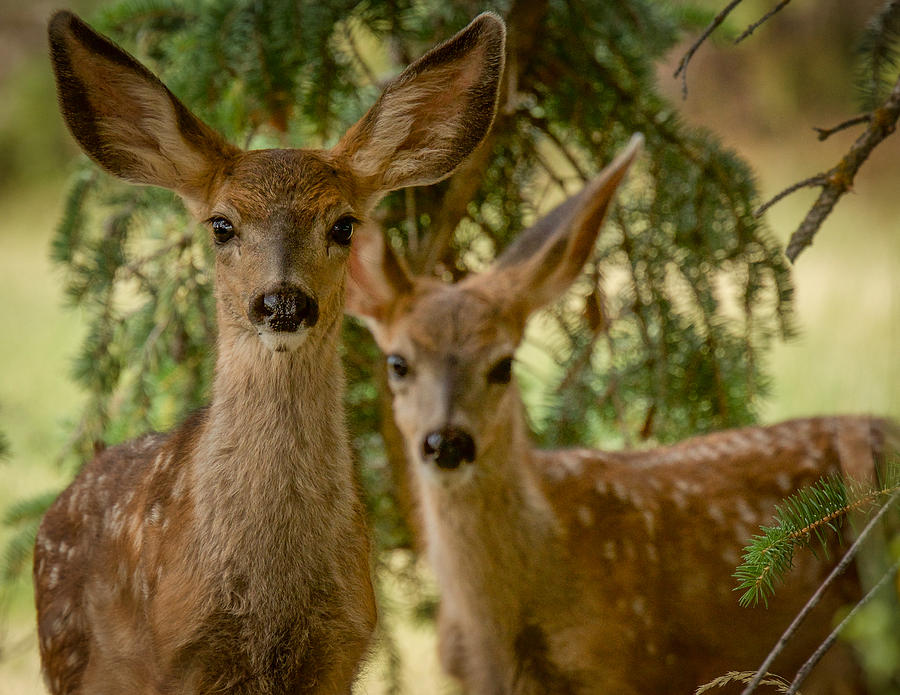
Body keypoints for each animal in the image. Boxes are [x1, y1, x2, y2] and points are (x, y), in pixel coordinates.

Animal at [35, 12, 506, 695]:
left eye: (343, 225)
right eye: (221, 225)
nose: (283, 303)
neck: (270, 596)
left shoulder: (341, 647)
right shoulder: (177, 651)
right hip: (66, 652)